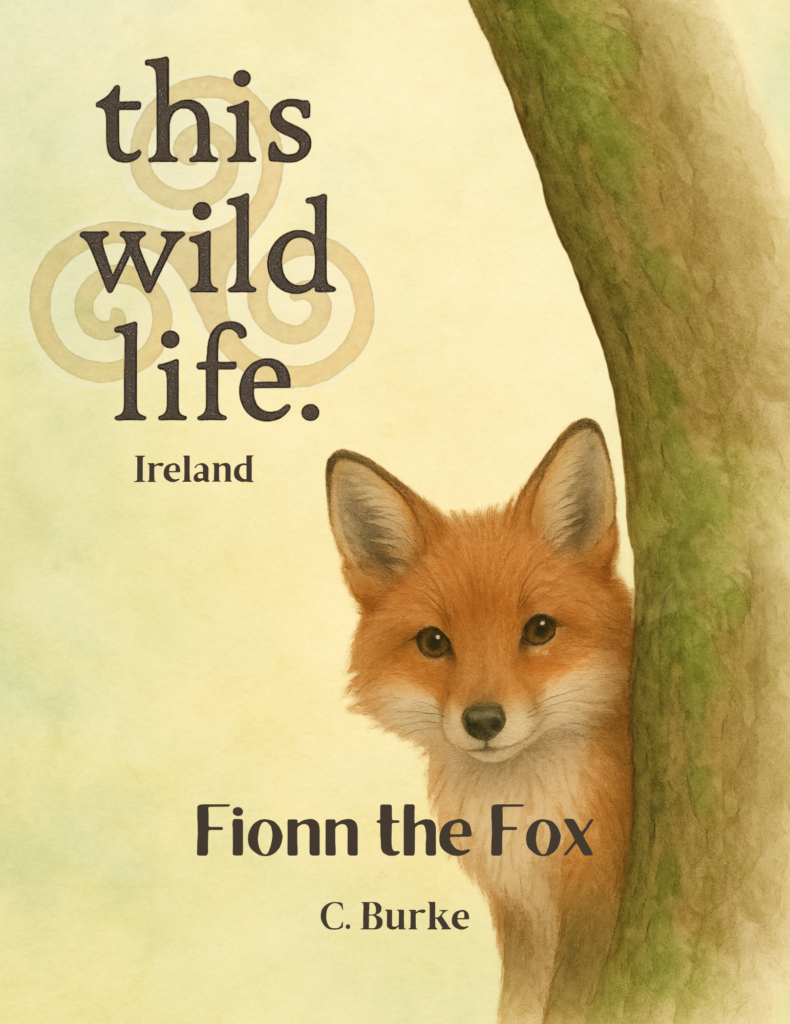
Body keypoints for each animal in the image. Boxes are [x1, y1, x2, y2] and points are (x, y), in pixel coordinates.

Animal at [325, 419, 633, 1024]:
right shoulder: (524, 916)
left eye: (540, 629)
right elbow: (519, 1004)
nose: (485, 721)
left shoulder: (594, 908)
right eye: (433, 642)